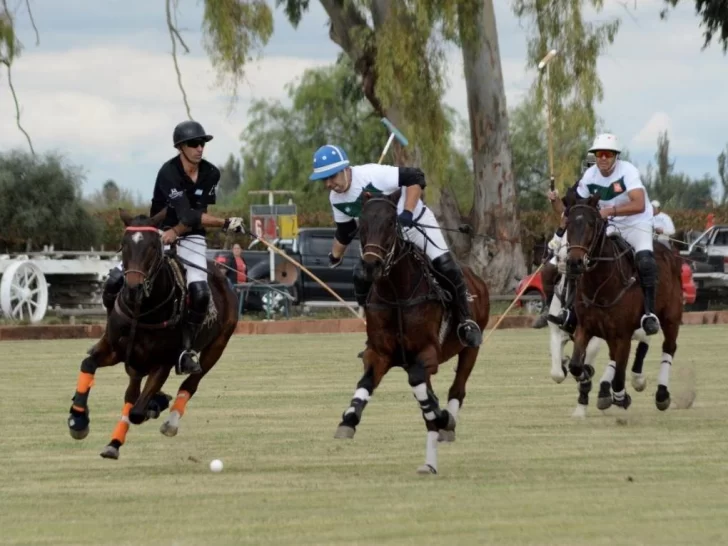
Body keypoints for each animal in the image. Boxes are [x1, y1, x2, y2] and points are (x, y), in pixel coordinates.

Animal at [66, 208, 237, 454]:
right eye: (123, 243)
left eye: (154, 246)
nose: (133, 288)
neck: (143, 311)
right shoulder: (115, 350)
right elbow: (88, 364)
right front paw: (78, 420)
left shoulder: (162, 363)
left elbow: (137, 412)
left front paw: (155, 404)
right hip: (135, 362)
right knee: (132, 392)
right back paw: (114, 443)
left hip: (218, 346)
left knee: (190, 383)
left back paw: (169, 420)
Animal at [332, 190, 492, 472]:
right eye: (362, 225)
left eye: (390, 223)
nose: (370, 267)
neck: (397, 294)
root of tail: (475, 277)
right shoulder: (379, 353)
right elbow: (366, 382)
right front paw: (348, 419)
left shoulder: (428, 352)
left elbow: (420, 384)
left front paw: (442, 416)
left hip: (471, 348)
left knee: (457, 387)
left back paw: (446, 424)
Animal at [564, 193, 684, 418]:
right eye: (567, 224)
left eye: (591, 224)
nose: (574, 263)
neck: (600, 284)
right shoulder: (585, 328)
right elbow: (576, 364)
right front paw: (585, 375)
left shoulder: (623, 335)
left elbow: (619, 376)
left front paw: (620, 397)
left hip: (671, 317)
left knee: (669, 347)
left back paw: (661, 395)